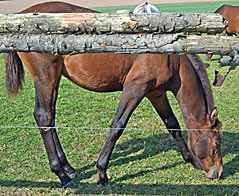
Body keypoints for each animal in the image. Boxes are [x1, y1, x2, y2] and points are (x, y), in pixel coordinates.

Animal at [3, 1, 223, 188]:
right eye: (217, 142)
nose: (218, 172)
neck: (169, 56)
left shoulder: (156, 93)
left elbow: (173, 125)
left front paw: (192, 160)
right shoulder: (135, 88)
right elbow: (117, 126)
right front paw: (102, 172)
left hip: (51, 80)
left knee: (48, 118)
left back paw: (68, 168)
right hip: (46, 77)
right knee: (44, 116)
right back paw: (62, 175)